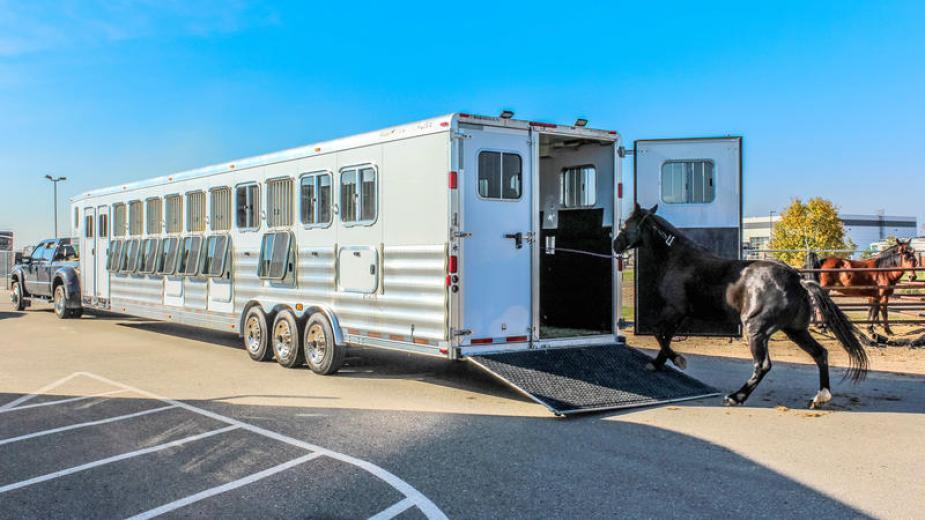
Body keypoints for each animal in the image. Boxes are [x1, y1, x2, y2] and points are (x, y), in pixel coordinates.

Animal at [612, 203, 868, 406]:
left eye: (627, 224)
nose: (616, 245)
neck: (679, 259)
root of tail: (797, 280)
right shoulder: (679, 315)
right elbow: (664, 337)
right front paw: (658, 363)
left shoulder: (675, 310)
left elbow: (659, 334)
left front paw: (677, 361)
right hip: (795, 330)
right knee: (820, 354)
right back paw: (820, 397)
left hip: (757, 331)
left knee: (763, 365)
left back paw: (737, 397)